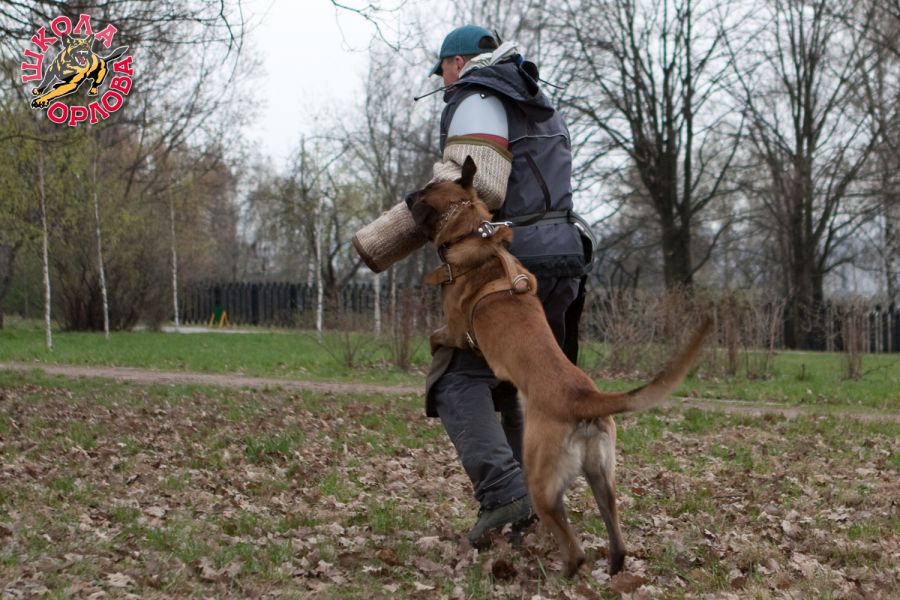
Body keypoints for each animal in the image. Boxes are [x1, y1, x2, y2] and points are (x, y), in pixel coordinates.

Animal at [409, 156, 710, 577]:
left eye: (423, 192)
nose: (406, 197)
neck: (474, 232)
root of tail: (584, 398)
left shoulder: (455, 330)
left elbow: (435, 336)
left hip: (541, 481)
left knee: (574, 547)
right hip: (603, 480)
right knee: (617, 543)